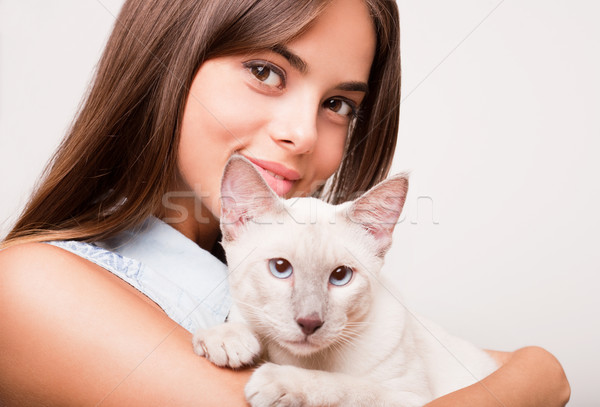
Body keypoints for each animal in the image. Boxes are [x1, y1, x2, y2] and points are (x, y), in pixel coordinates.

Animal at [193, 155, 496, 406]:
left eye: (340, 276)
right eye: (280, 268)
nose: (309, 322)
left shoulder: (410, 397)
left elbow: (348, 387)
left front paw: (280, 380)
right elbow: (244, 318)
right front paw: (225, 338)